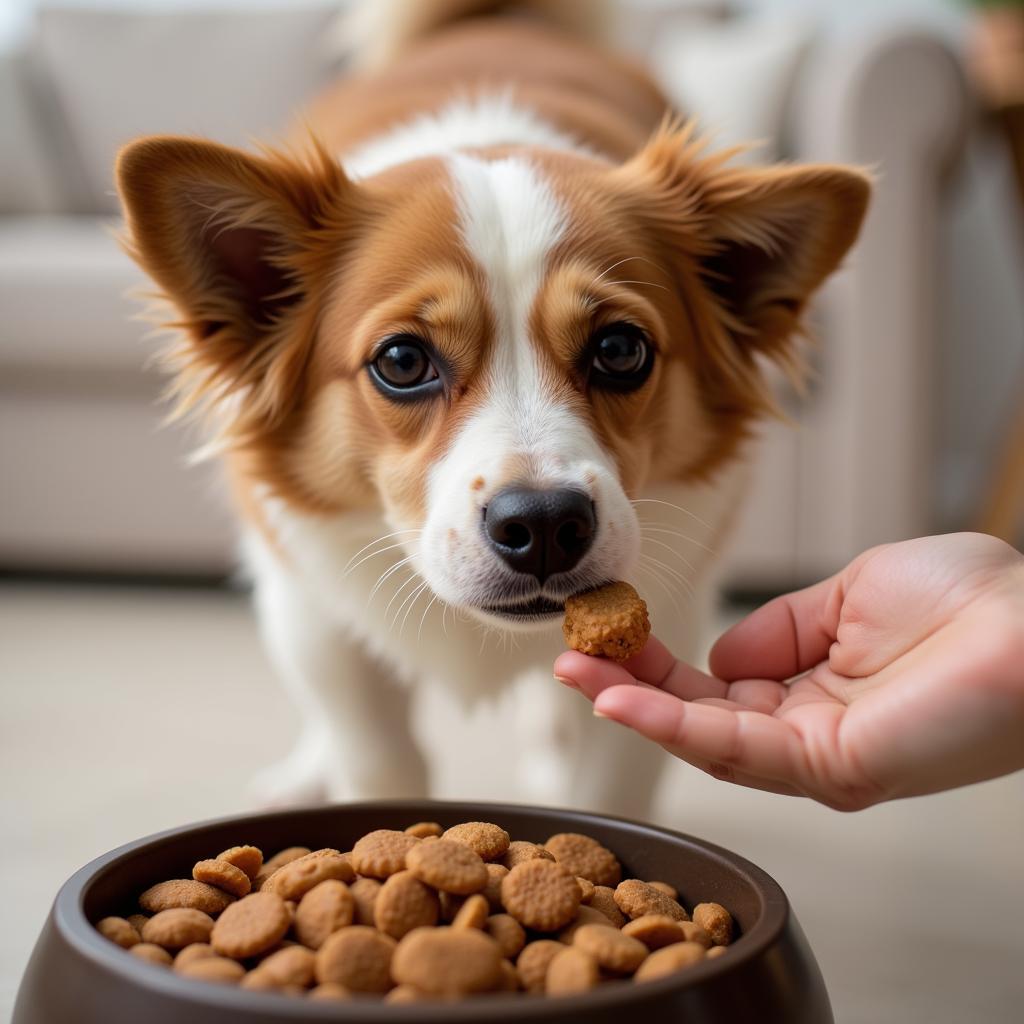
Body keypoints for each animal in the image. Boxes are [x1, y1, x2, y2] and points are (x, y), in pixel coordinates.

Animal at [117, 0, 872, 815]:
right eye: (402, 362)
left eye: (620, 349)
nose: (542, 525)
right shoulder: (313, 609)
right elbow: (378, 757)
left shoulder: (670, 611)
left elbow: (607, 788)